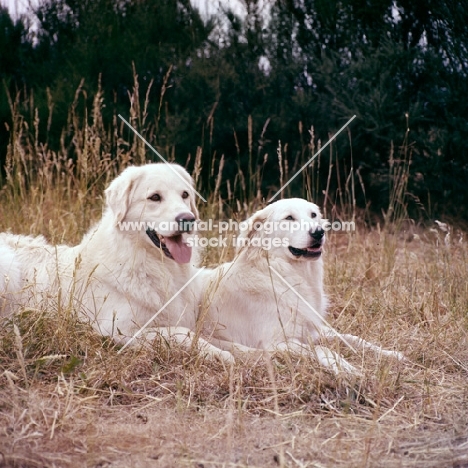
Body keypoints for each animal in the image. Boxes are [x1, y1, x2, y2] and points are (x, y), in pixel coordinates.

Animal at [0, 164, 232, 362]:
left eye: (185, 195)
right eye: (155, 197)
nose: (188, 219)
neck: (155, 265)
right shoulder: (119, 331)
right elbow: (183, 333)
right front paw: (218, 354)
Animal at [199, 199, 404, 374]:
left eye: (313, 215)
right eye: (289, 218)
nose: (319, 232)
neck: (281, 274)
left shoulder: (313, 329)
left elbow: (352, 338)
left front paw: (391, 354)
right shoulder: (277, 342)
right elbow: (323, 349)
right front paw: (346, 368)